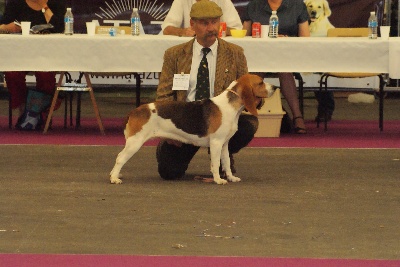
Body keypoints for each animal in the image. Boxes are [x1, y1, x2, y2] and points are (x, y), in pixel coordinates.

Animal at [111, 74, 276, 185]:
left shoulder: (224, 144)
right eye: (260, 82)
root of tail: (136, 110)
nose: (275, 87)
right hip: (135, 142)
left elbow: (226, 163)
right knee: (119, 158)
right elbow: (215, 163)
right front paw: (218, 179)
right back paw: (114, 178)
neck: (230, 106)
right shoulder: (216, 143)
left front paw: (230, 177)